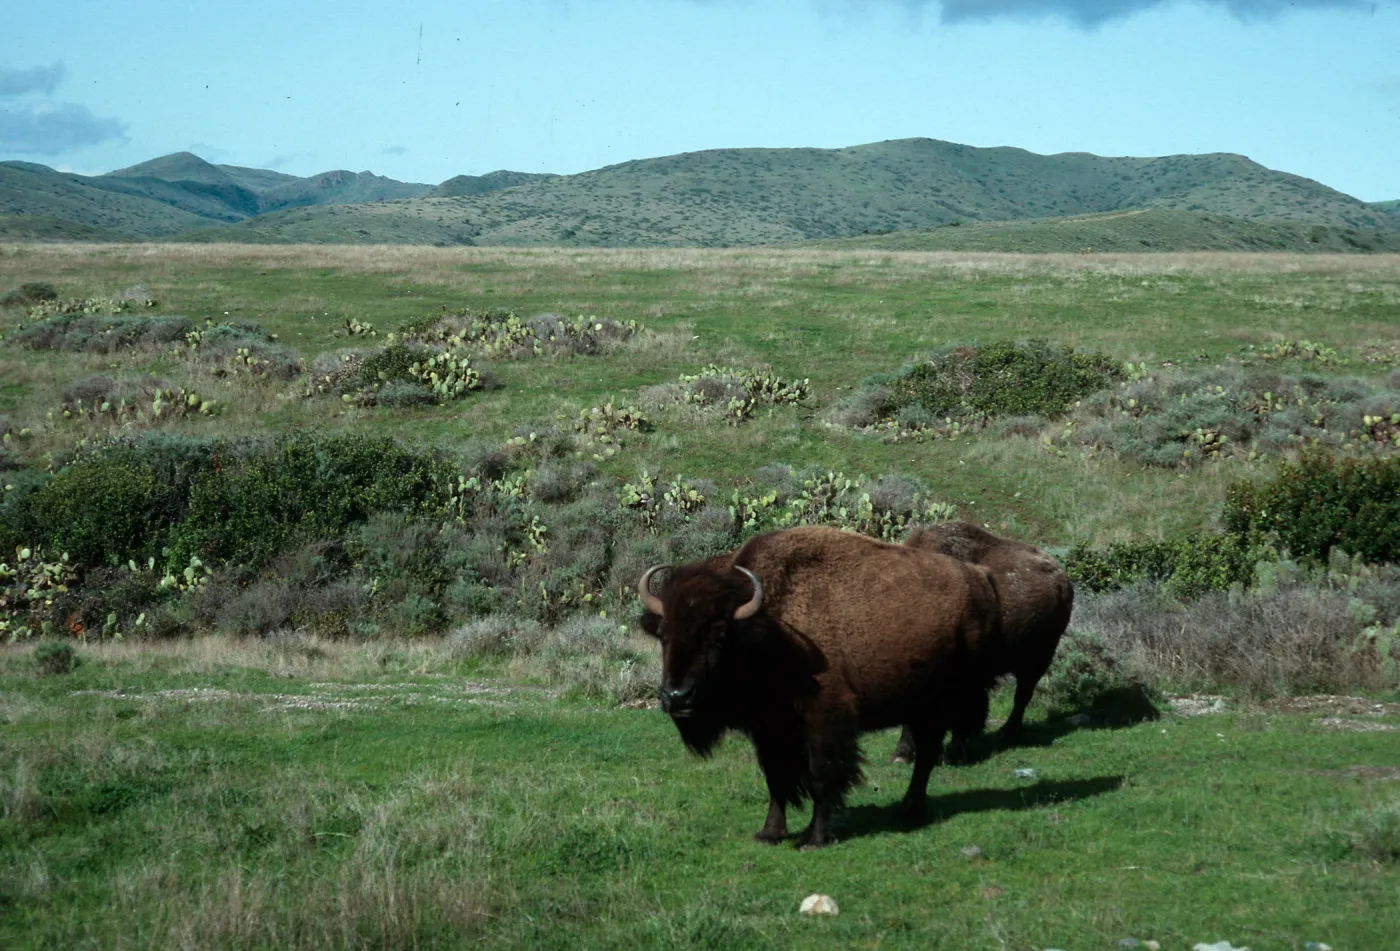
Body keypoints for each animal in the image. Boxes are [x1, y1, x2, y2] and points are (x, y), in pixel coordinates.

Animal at [637, 525, 1001, 849]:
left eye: (719, 635)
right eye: (664, 635)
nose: (677, 697)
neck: (770, 626)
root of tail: (981, 578)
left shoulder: (824, 719)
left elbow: (821, 777)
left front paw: (815, 839)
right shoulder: (769, 728)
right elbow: (776, 778)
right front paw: (769, 834)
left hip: (942, 702)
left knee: (928, 752)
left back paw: (911, 809)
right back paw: (910, 809)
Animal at [892, 522, 1074, 763]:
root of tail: (1062, 578)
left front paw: (956, 752)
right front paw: (903, 753)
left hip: (1039, 656)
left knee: (1022, 695)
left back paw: (1007, 734)